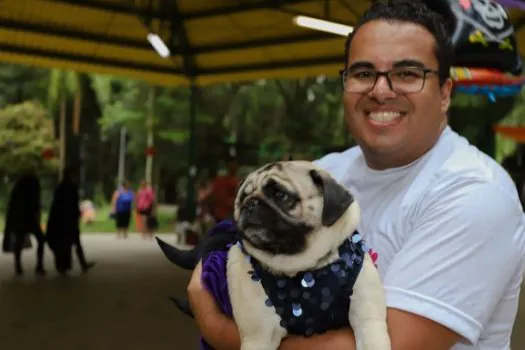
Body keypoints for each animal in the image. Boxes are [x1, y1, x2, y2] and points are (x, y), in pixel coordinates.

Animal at [227, 161, 390, 350]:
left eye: (280, 195)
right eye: (241, 199)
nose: (250, 203)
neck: (304, 267)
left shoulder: (369, 322)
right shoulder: (258, 338)